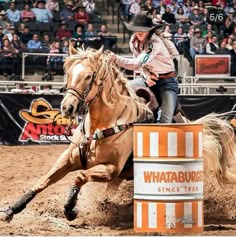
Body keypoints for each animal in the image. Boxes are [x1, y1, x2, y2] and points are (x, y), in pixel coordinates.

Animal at [0, 45, 236, 222]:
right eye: (69, 73)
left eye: (89, 76)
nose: (67, 107)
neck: (101, 125)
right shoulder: (69, 159)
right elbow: (43, 182)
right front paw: (12, 209)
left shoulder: (110, 169)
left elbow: (79, 177)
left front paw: (70, 209)